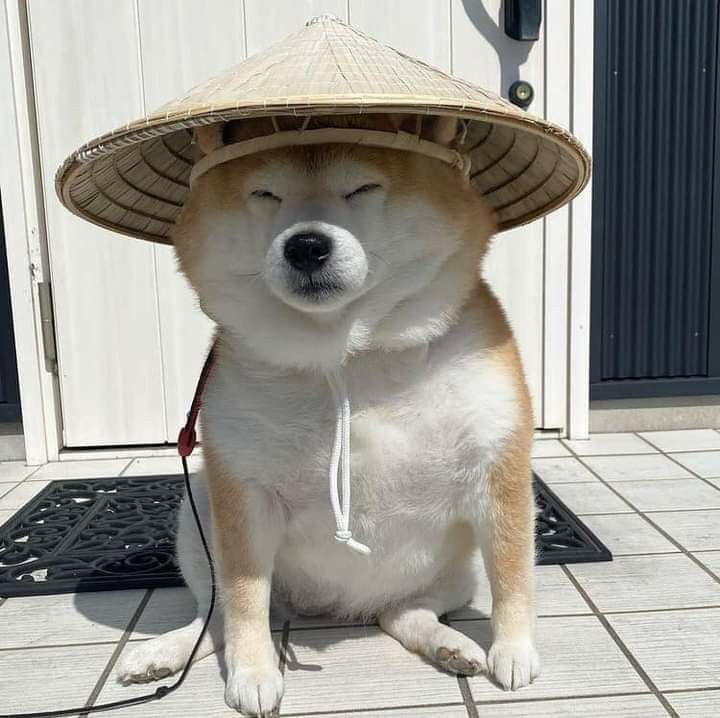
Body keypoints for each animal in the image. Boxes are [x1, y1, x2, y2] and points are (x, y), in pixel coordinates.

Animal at [115, 115, 536, 716]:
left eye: (362, 188)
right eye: (266, 195)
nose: (307, 244)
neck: (347, 355)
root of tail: (329, 608)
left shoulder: (497, 468)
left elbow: (513, 571)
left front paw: (515, 648)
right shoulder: (242, 495)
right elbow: (243, 599)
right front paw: (252, 672)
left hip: (454, 573)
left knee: (403, 612)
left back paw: (449, 644)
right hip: (197, 519)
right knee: (216, 618)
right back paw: (164, 652)